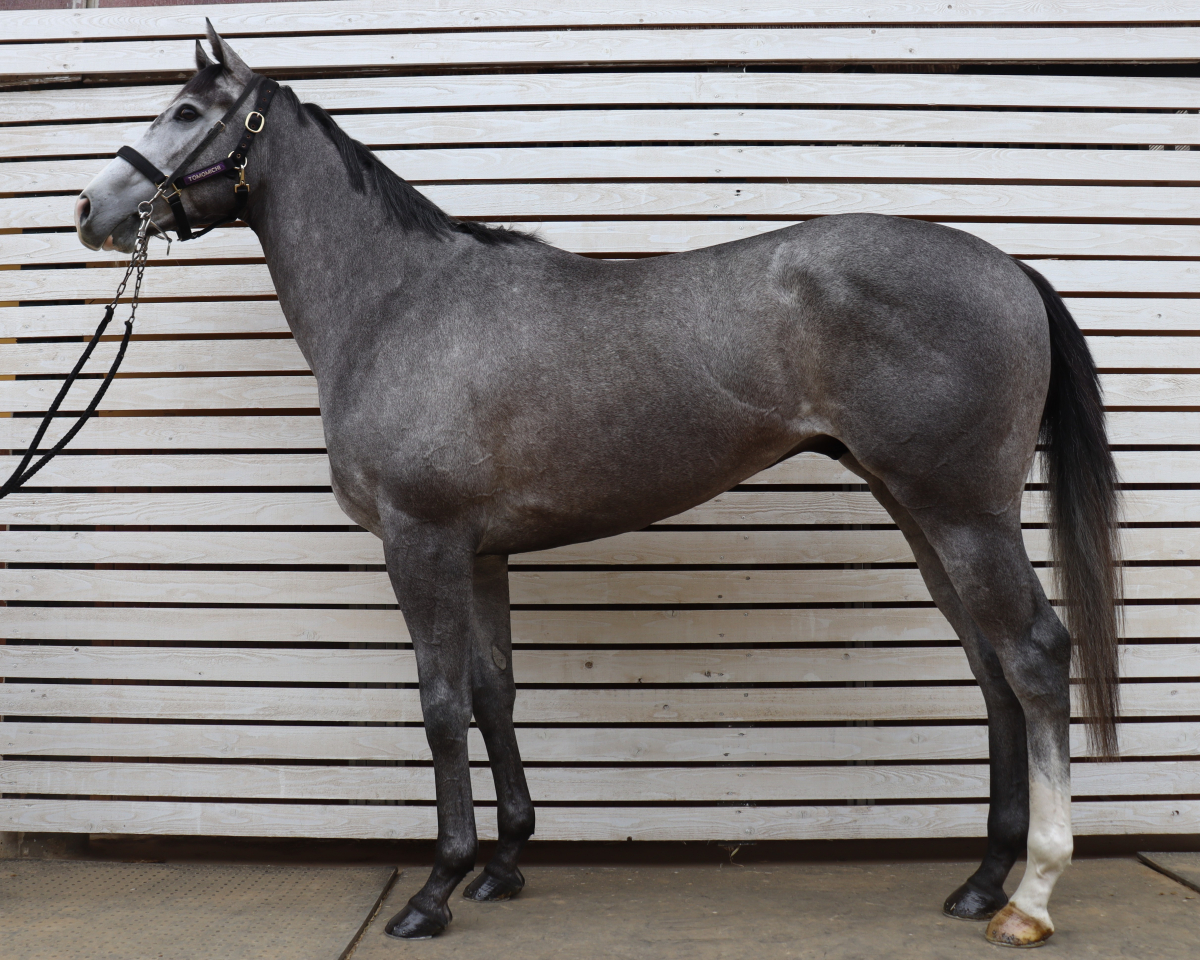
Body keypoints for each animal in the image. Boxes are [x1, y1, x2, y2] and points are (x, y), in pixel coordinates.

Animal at [74, 24, 1122, 947]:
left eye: (184, 110)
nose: (90, 211)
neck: (400, 303)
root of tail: (1008, 268)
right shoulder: (480, 552)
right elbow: (493, 692)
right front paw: (503, 865)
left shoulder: (420, 542)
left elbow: (441, 704)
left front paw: (436, 890)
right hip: (918, 511)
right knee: (990, 668)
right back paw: (981, 880)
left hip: (963, 513)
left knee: (1032, 657)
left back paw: (1030, 897)